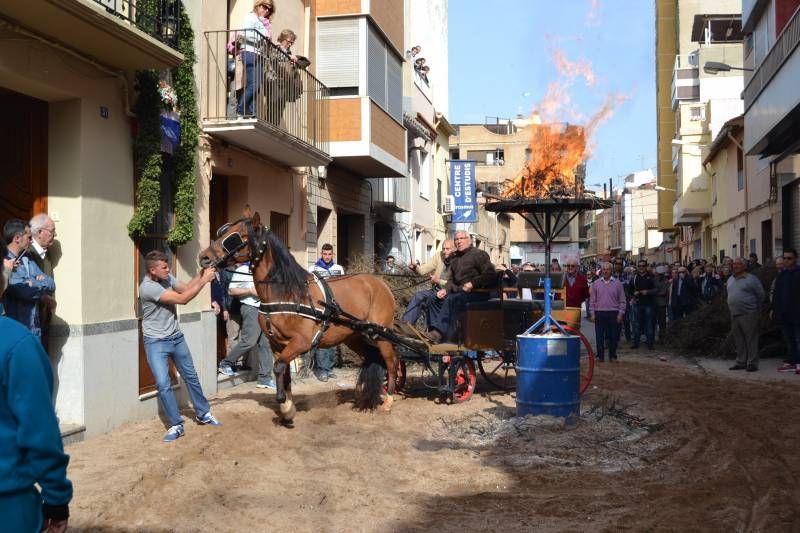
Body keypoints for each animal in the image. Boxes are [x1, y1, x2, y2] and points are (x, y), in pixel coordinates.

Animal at [198, 212, 398, 424]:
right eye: (224, 231)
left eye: (235, 237)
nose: (204, 257)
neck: (287, 293)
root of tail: (380, 283)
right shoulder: (277, 344)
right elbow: (284, 372)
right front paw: (287, 407)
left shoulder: (301, 343)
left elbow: (278, 367)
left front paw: (283, 402)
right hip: (354, 337)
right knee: (372, 358)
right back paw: (367, 396)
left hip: (381, 335)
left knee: (391, 362)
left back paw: (388, 400)